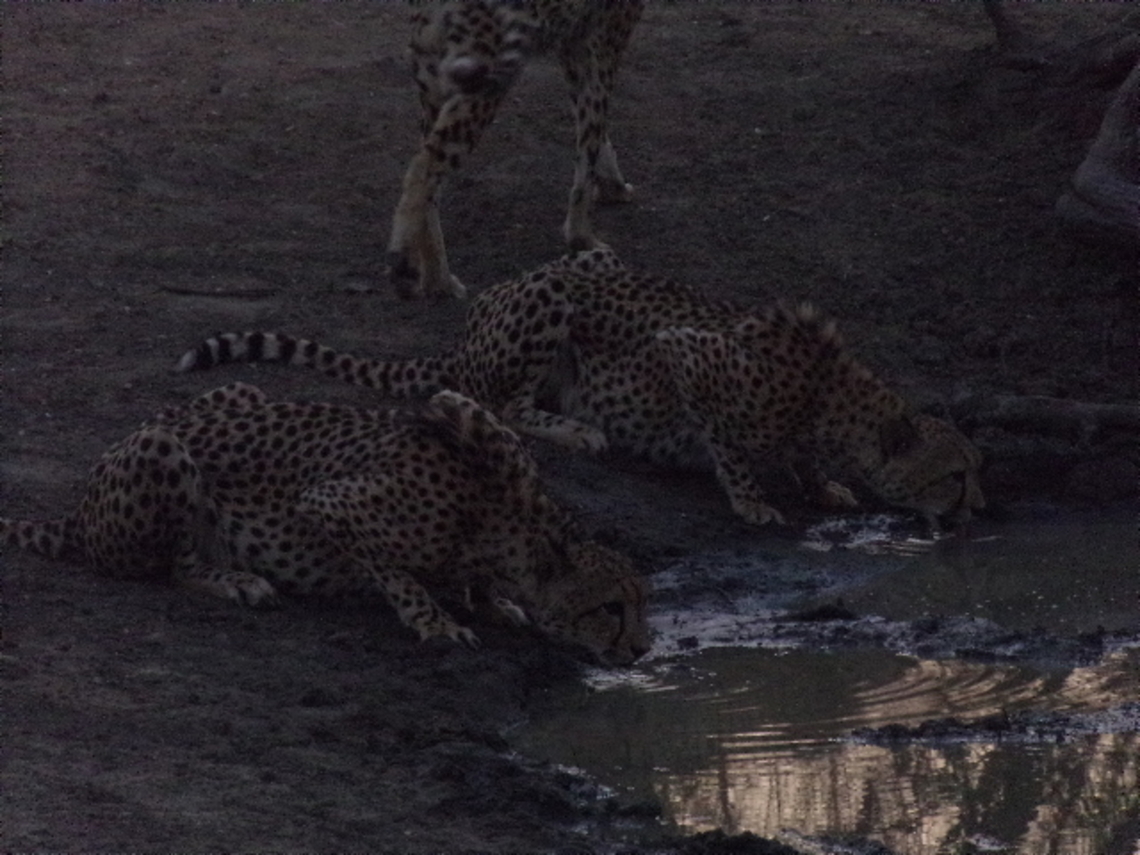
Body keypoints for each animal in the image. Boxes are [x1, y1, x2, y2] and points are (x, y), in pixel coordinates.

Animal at [1, 382, 651, 664]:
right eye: (611, 607)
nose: (644, 650)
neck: (507, 522)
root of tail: (81, 510)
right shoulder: (330, 505)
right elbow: (397, 573)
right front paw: (435, 622)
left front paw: (493, 603)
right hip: (162, 448)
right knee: (177, 565)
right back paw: (235, 580)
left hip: (238, 389)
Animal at [177, 248, 985, 529]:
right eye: (954, 474)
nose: (976, 508)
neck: (829, 392)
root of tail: (473, 319)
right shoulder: (689, 356)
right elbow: (727, 442)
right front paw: (754, 498)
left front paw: (819, 484)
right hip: (555, 295)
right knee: (499, 404)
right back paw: (579, 428)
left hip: (591, 257)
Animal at [389, 0, 643, 299]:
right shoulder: (603, 43)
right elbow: (591, 134)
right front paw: (582, 236)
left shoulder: (571, 44)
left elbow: (595, 132)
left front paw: (612, 185)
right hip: (482, 79)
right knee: (424, 167)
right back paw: (405, 259)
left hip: (436, 85)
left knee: (429, 173)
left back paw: (435, 278)